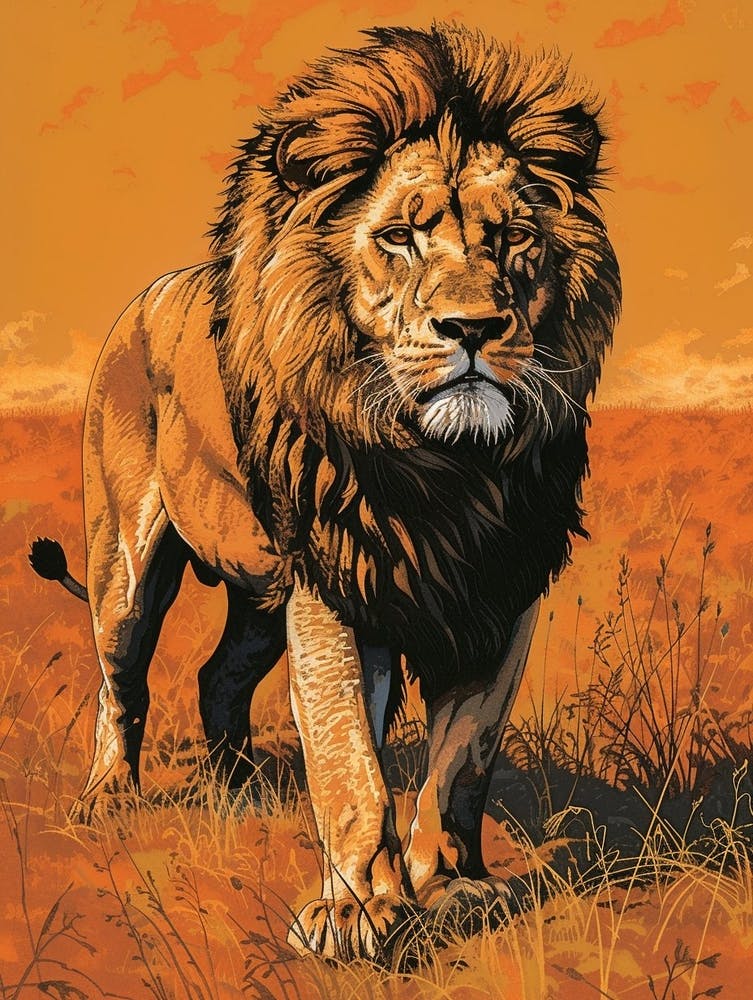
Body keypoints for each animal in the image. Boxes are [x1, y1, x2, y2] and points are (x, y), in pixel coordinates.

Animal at [30, 24, 620, 960]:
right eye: (400, 237)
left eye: (513, 238)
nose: (473, 329)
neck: (450, 469)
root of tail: (148, 295)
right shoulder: (338, 583)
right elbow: (349, 760)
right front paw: (353, 912)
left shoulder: (500, 589)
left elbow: (461, 760)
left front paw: (451, 888)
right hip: (125, 567)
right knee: (120, 684)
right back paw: (108, 800)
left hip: (259, 595)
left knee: (218, 677)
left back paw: (234, 791)